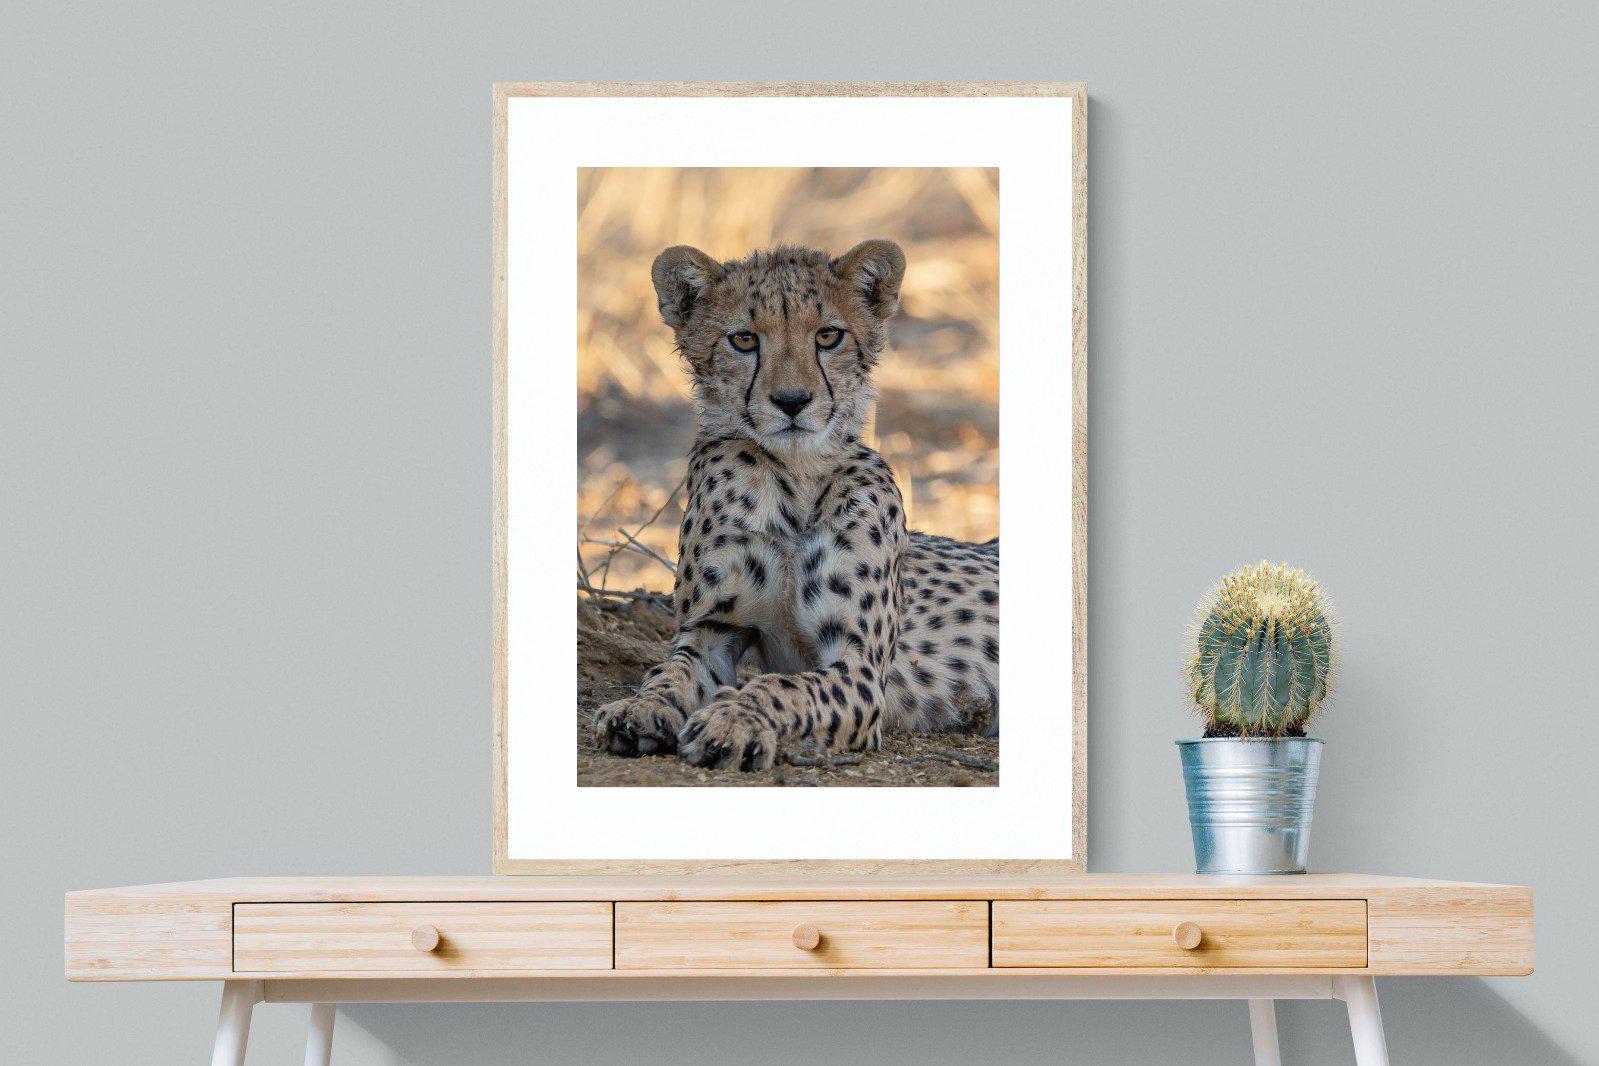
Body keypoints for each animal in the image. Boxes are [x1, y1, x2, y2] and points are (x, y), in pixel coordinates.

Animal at [592, 239, 999, 772]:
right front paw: (639, 709)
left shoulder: (859, 666)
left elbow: (784, 686)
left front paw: (733, 721)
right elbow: (668, 673)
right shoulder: (711, 632)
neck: (795, 479)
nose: (791, 400)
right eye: (744, 340)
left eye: (828, 335)